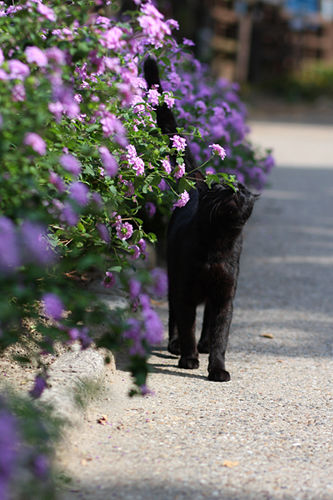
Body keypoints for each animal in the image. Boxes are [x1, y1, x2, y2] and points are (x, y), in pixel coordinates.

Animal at [143, 56, 256, 380]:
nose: (232, 189)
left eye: (243, 189)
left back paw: (203, 347)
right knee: (173, 315)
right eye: (218, 186)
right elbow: (186, 324)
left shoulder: (225, 295)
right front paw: (188, 358)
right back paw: (175, 346)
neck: (216, 245)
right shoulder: (186, 289)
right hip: (173, 278)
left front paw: (217, 367)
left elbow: (220, 333)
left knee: (206, 322)